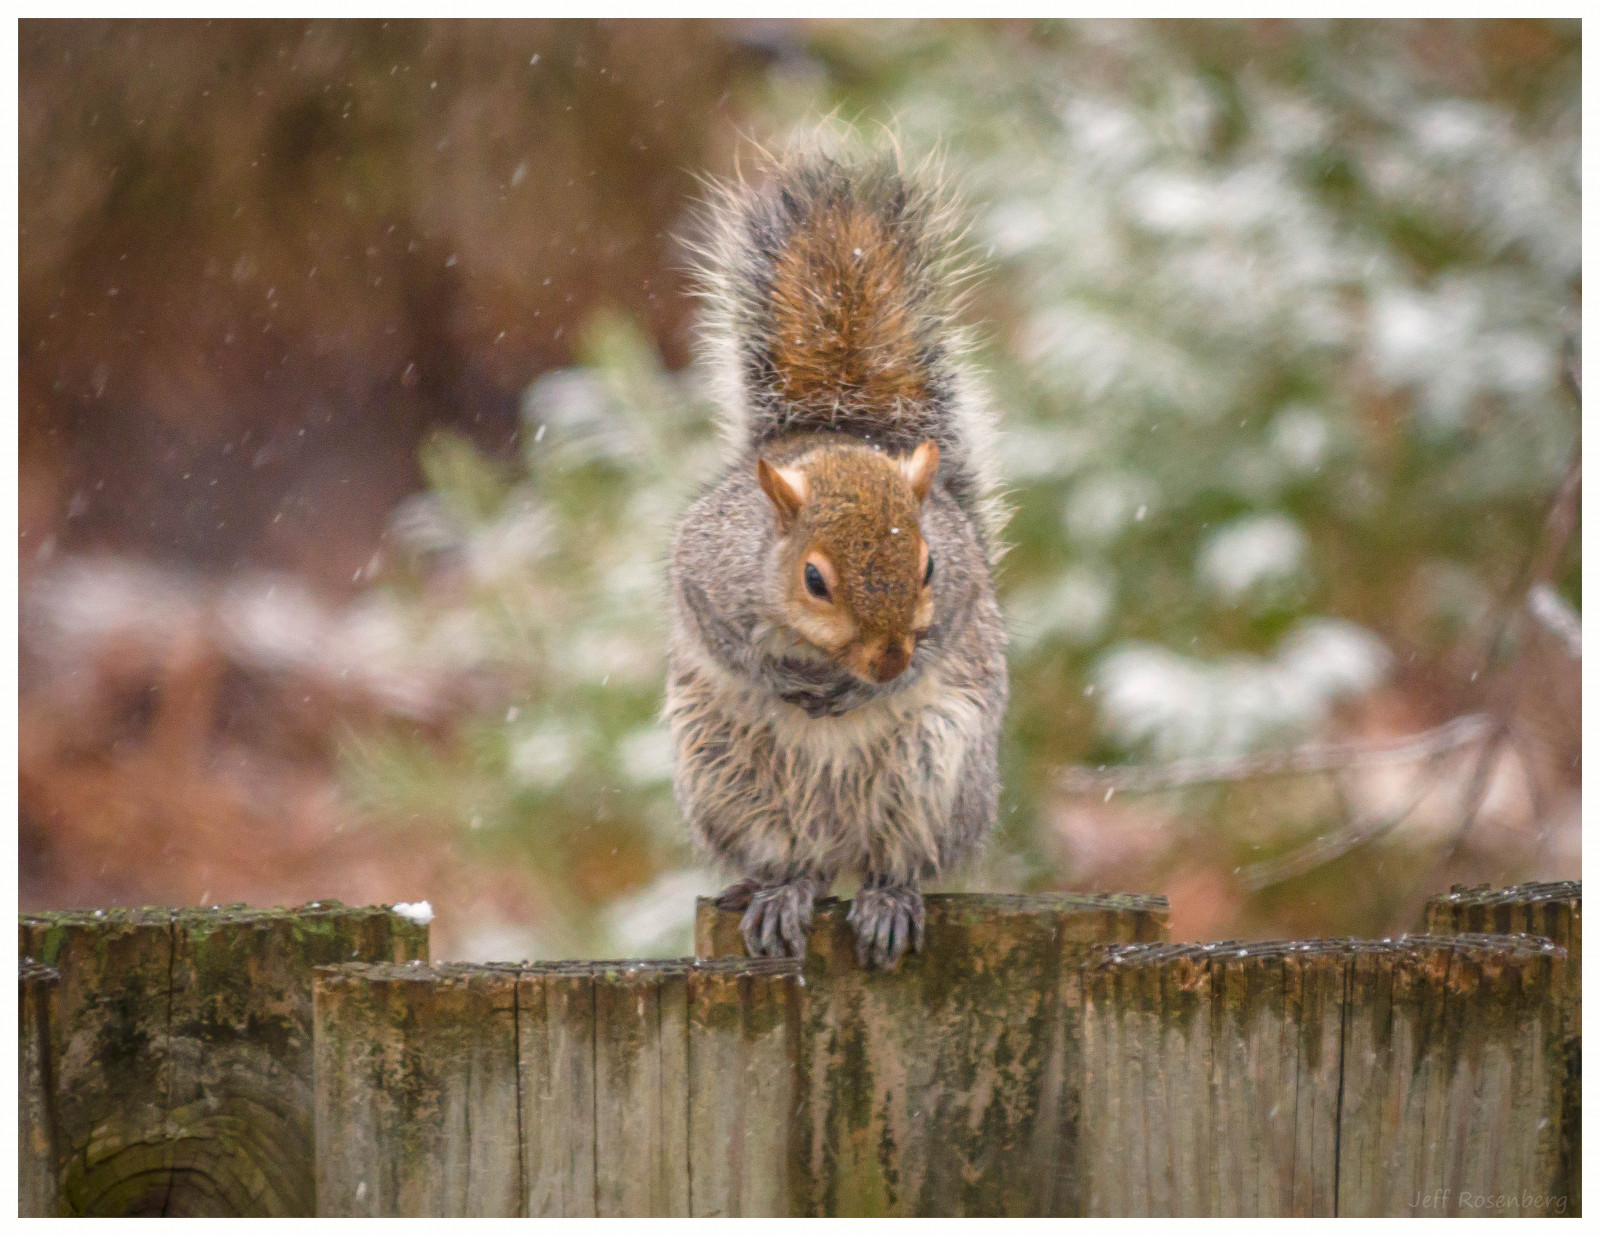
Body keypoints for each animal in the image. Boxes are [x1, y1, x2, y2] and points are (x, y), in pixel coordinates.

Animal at [665, 139, 1009, 970]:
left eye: (928, 567)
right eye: (815, 579)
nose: (885, 662)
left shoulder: (961, 590)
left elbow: (947, 631)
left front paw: (872, 687)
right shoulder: (702, 568)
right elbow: (720, 635)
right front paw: (779, 677)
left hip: (936, 771)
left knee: (897, 857)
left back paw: (887, 899)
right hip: (726, 778)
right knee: (799, 861)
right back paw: (784, 893)